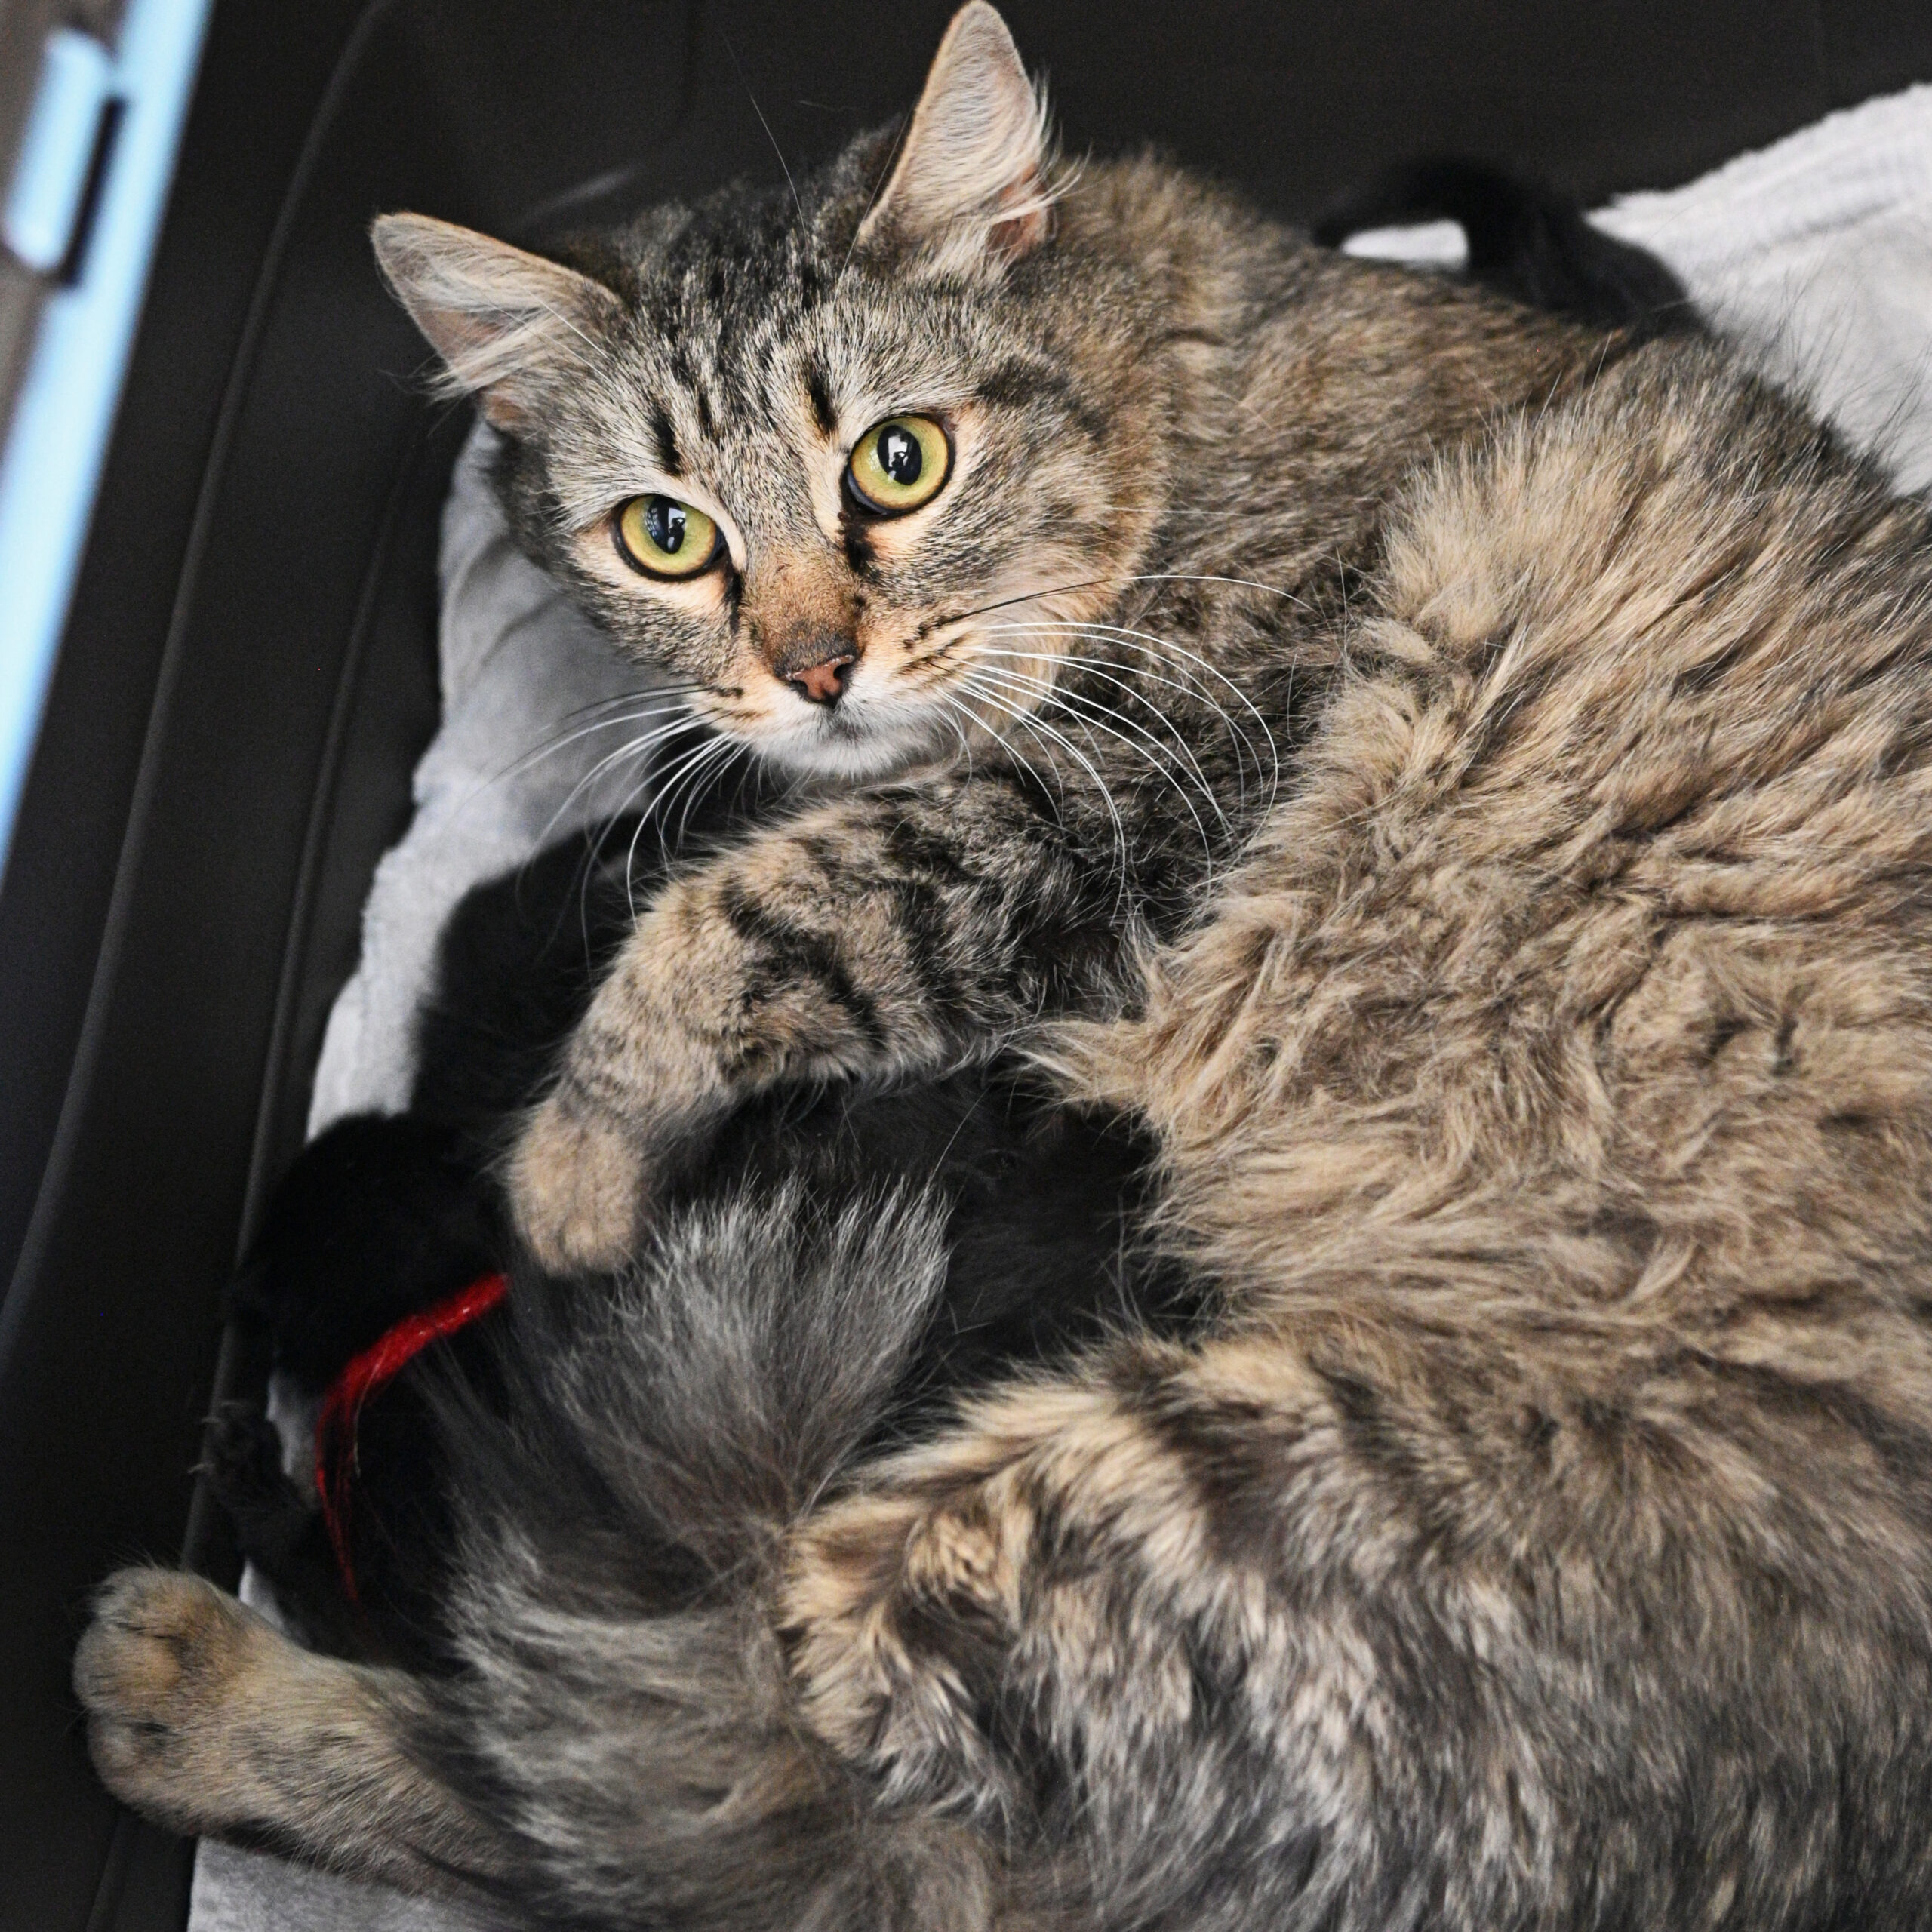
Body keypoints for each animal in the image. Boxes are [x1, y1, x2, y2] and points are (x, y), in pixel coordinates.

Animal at [75, 4, 1932, 1932]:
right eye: (667, 533)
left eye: (898, 462)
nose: (813, 669)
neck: (1157, 379)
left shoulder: (1142, 794)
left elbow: (744, 911)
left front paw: (569, 1172)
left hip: (1149, 1512)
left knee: (698, 1794)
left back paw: (200, 1673)